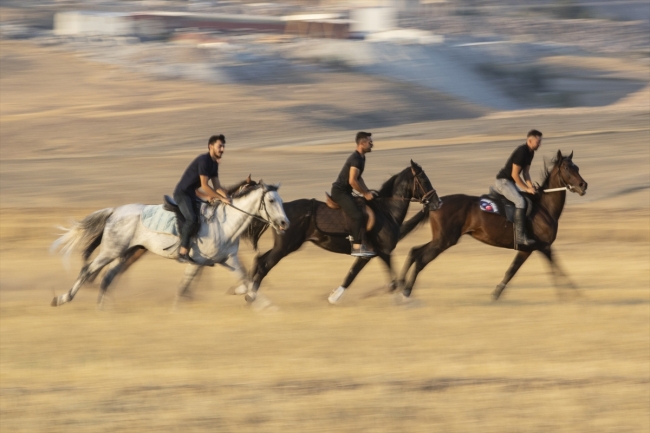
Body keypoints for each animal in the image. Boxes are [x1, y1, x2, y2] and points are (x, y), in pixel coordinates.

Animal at [48, 179, 286, 308]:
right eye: (271, 200)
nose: (285, 223)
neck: (224, 222)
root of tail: (114, 211)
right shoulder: (198, 262)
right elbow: (185, 288)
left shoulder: (226, 260)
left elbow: (245, 279)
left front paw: (265, 306)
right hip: (111, 251)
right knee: (88, 270)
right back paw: (62, 298)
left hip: (127, 252)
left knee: (107, 277)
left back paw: (105, 309)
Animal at [242, 160, 440, 302]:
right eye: (424, 180)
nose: (437, 202)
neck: (386, 211)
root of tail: (279, 212)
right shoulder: (379, 252)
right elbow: (364, 277)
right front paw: (334, 297)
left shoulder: (373, 254)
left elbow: (374, 277)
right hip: (286, 247)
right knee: (265, 265)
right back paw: (252, 297)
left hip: (283, 246)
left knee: (260, 260)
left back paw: (248, 291)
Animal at [400, 150, 588, 298]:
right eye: (567, 168)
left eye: (577, 167)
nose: (583, 185)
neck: (544, 207)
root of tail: (435, 202)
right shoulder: (542, 246)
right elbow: (556, 269)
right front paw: (574, 294)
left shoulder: (529, 249)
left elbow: (513, 271)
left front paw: (495, 294)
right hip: (444, 240)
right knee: (421, 259)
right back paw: (406, 292)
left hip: (440, 239)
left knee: (414, 252)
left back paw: (400, 285)